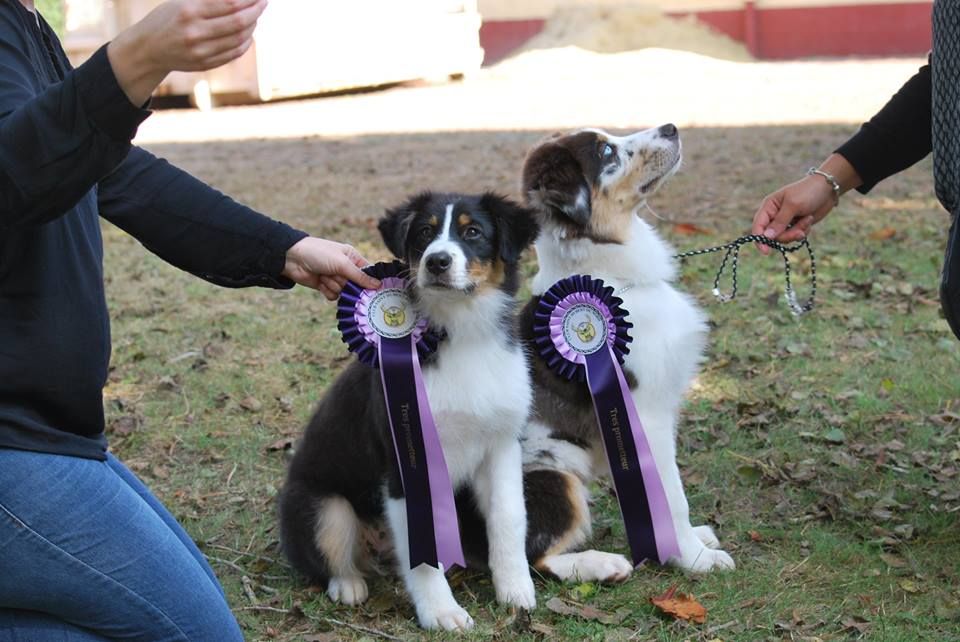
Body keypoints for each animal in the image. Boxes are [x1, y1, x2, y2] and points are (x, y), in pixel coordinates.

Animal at [282, 190, 544, 632]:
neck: (460, 334)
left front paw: (515, 590)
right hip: (323, 504)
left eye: (473, 232)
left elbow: (509, 518)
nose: (437, 262)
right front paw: (442, 612)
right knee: (327, 550)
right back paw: (348, 584)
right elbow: (423, 554)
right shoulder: (405, 462)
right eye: (424, 232)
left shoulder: (501, 444)